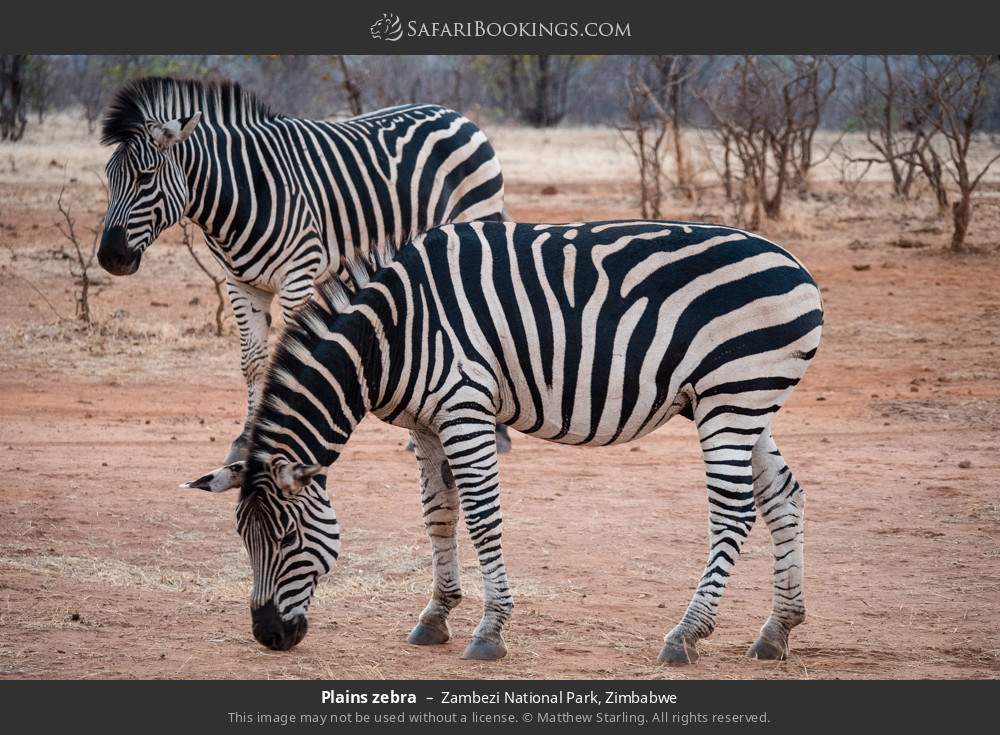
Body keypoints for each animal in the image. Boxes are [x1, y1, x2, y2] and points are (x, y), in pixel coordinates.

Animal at [97, 77, 508, 462]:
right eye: (109, 176)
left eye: (146, 176)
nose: (109, 257)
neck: (245, 190)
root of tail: (453, 114)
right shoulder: (241, 283)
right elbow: (253, 363)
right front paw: (244, 441)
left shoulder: (298, 274)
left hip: (477, 214)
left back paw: (497, 433)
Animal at [186, 220, 820, 668]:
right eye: (243, 538)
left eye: (287, 538)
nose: (269, 636)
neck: (388, 336)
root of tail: (795, 264)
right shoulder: (424, 424)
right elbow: (439, 514)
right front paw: (436, 616)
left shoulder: (465, 408)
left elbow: (482, 517)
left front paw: (490, 630)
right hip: (744, 402)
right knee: (784, 497)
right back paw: (776, 631)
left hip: (732, 398)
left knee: (733, 512)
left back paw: (686, 635)